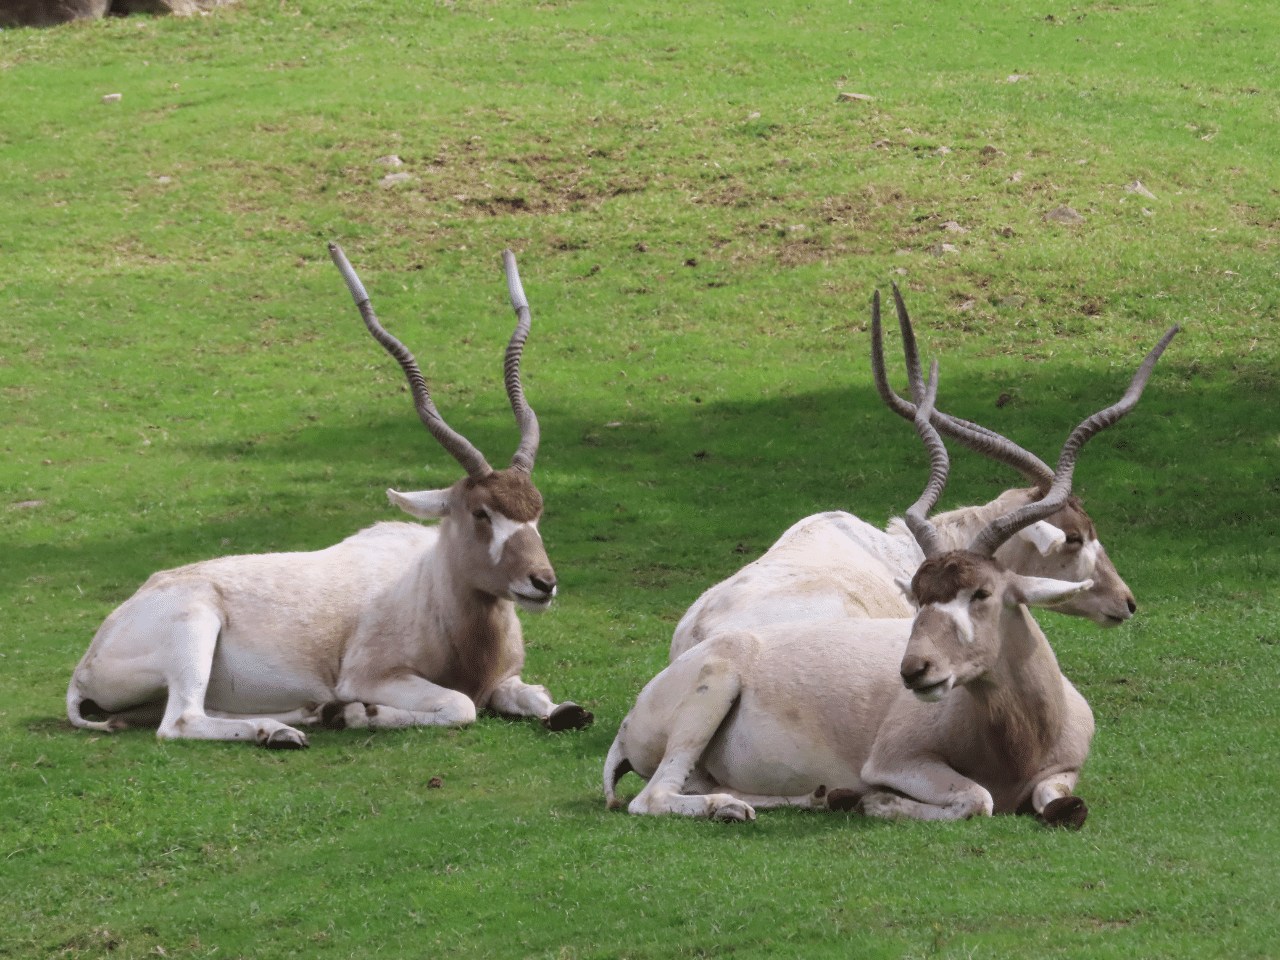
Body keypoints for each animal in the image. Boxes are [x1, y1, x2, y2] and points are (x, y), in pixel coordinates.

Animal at [66, 241, 593, 752]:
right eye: (482, 513)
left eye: (537, 512)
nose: (543, 583)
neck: (432, 585)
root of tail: (88, 661)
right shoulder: (371, 676)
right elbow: (461, 704)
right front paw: (360, 713)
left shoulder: (506, 679)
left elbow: (544, 700)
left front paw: (564, 711)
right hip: (194, 628)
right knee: (178, 721)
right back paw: (285, 730)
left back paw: (303, 717)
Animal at [609, 323, 1177, 829]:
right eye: (1077, 537)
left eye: (982, 592)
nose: (1125, 601)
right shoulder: (900, 757)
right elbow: (977, 799)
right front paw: (879, 803)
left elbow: (1063, 803)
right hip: (713, 690)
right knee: (652, 797)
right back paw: (733, 809)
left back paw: (812, 797)